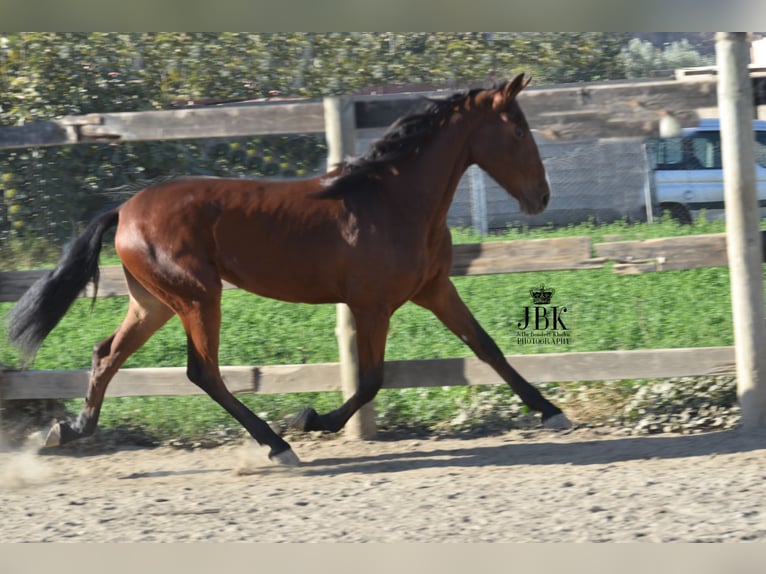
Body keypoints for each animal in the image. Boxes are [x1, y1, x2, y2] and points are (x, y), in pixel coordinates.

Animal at [4, 74, 568, 466]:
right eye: (519, 130)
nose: (542, 197)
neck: (394, 202)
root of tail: (124, 210)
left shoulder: (434, 289)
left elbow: (487, 347)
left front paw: (551, 411)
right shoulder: (372, 304)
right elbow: (372, 379)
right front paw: (311, 419)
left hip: (154, 302)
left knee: (106, 354)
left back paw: (68, 431)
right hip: (197, 297)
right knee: (202, 371)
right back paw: (277, 445)